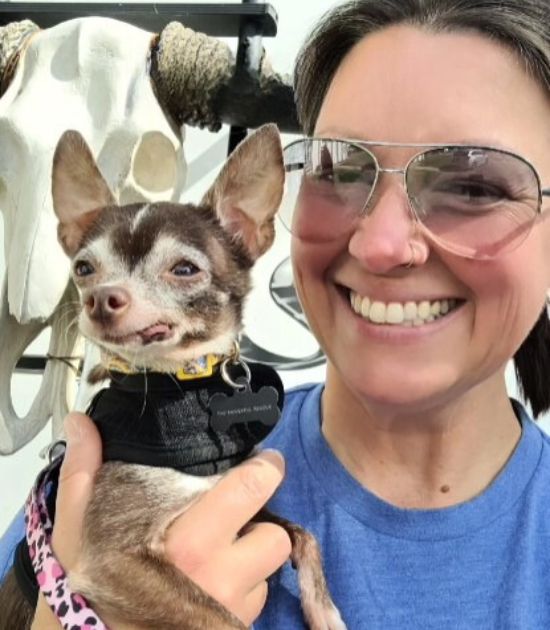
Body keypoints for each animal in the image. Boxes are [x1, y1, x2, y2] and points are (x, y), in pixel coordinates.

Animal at [0, 124, 344, 630]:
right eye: (84, 269)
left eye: (184, 269)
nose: (99, 298)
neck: (180, 386)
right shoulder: (111, 561)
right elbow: (228, 620)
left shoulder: (243, 507)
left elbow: (303, 534)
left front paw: (324, 610)